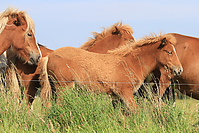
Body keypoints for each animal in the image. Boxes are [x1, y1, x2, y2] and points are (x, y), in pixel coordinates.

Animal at [38, 32, 183, 110]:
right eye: (169, 52)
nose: (179, 70)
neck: (131, 62)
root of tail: (48, 56)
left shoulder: (116, 97)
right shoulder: (126, 93)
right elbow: (135, 111)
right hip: (64, 88)